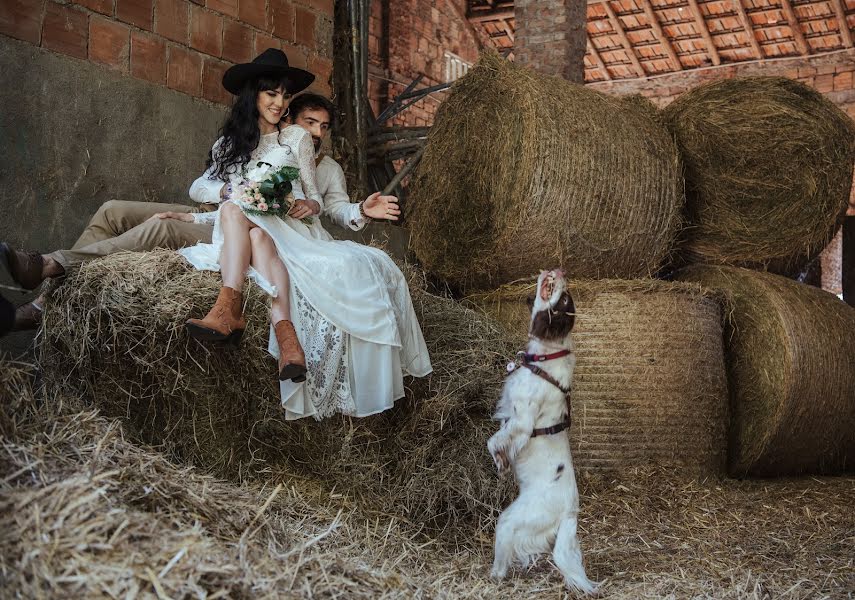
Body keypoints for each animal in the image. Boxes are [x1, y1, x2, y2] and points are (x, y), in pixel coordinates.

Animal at [484, 268, 600, 596]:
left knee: (503, 556)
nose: (558, 270)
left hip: (511, 520)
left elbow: (494, 442)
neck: (545, 358)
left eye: (563, 299)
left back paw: (494, 576)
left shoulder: (521, 419)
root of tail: (570, 513)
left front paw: (500, 463)